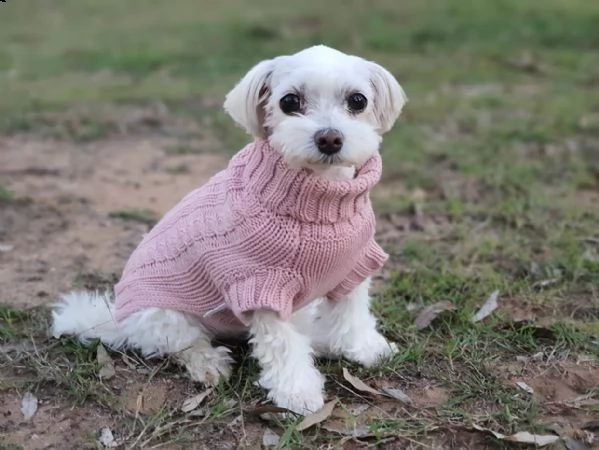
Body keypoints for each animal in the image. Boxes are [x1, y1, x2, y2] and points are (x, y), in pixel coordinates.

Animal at [52, 45, 408, 414]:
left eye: (358, 100)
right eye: (289, 102)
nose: (329, 138)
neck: (319, 199)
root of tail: (117, 319)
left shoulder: (353, 266)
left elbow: (353, 314)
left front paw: (367, 349)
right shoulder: (259, 287)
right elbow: (282, 344)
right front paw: (296, 391)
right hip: (164, 316)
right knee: (182, 345)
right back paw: (209, 363)